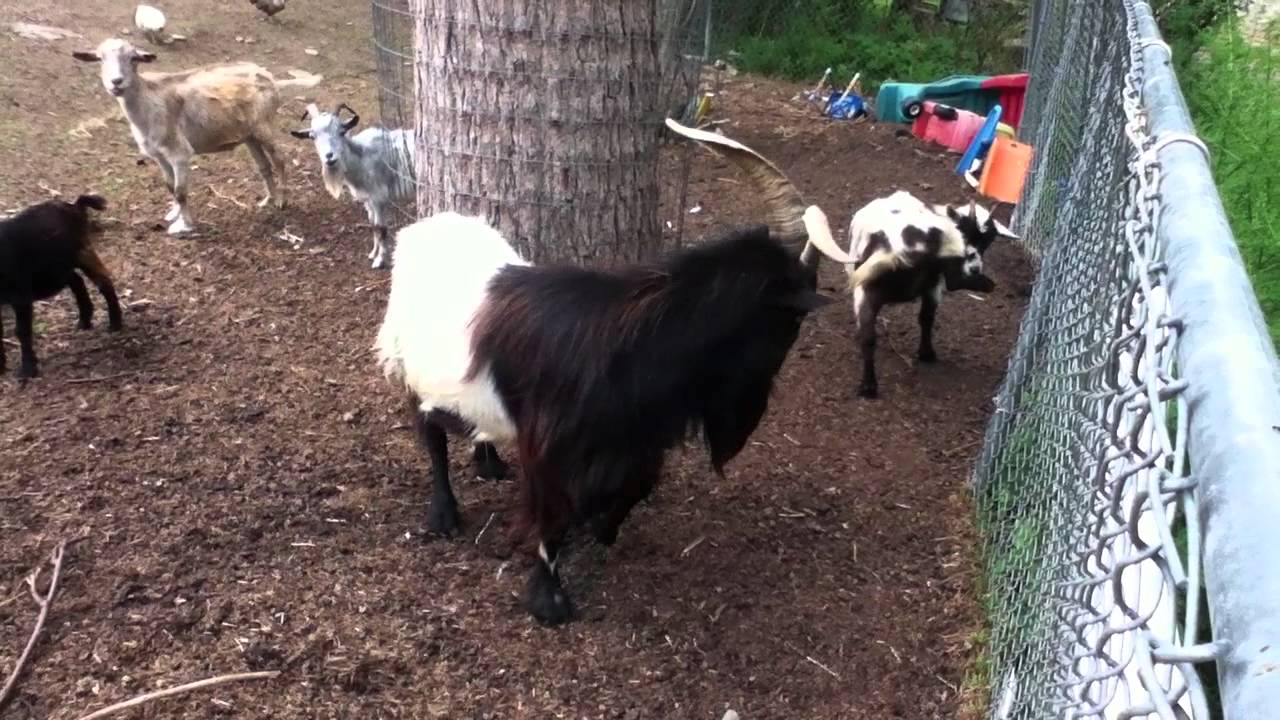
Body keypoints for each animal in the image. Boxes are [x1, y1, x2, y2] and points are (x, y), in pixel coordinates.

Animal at [0, 194, 123, 381]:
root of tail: (75, 206)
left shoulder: (20, 295)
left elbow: (22, 331)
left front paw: (28, 369)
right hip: (59, 266)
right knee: (77, 280)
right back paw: (84, 320)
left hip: (83, 252)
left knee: (103, 282)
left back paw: (115, 323)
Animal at [72, 38, 322, 235]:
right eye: (100, 59)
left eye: (133, 58)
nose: (116, 82)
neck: (148, 101)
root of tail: (271, 79)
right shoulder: (159, 155)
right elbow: (169, 186)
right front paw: (172, 214)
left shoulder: (180, 152)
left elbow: (181, 192)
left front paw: (184, 225)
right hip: (249, 134)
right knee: (263, 166)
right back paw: (267, 200)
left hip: (265, 125)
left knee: (280, 160)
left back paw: (282, 201)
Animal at [289, 103, 415, 269]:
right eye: (312, 136)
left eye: (342, 132)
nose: (329, 157)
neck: (362, 157)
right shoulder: (368, 201)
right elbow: (373, 225)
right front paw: (372, 253)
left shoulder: (379, 199)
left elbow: (381, 228)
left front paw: (379, 260)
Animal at [373, 119, 852, 626]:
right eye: (793, 318)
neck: (632, 345)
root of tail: (424, 228)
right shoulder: (549, 444)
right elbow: (552, 514)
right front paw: (549, 601)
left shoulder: (637, 439)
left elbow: (635, 487)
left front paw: (601, 527)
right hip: (410, 366)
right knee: (430, 435)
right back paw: (442, 515)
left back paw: (489, 463)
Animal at [844, 190, 1017, 398]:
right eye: (969, 233)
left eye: (988, 240)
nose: (975, 268)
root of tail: (893, 251)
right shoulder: (938, 281)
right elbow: (931, 312)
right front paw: (926, 353)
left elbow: (925, 317)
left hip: (866, 292)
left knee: (868, 336)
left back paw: (868, 387)